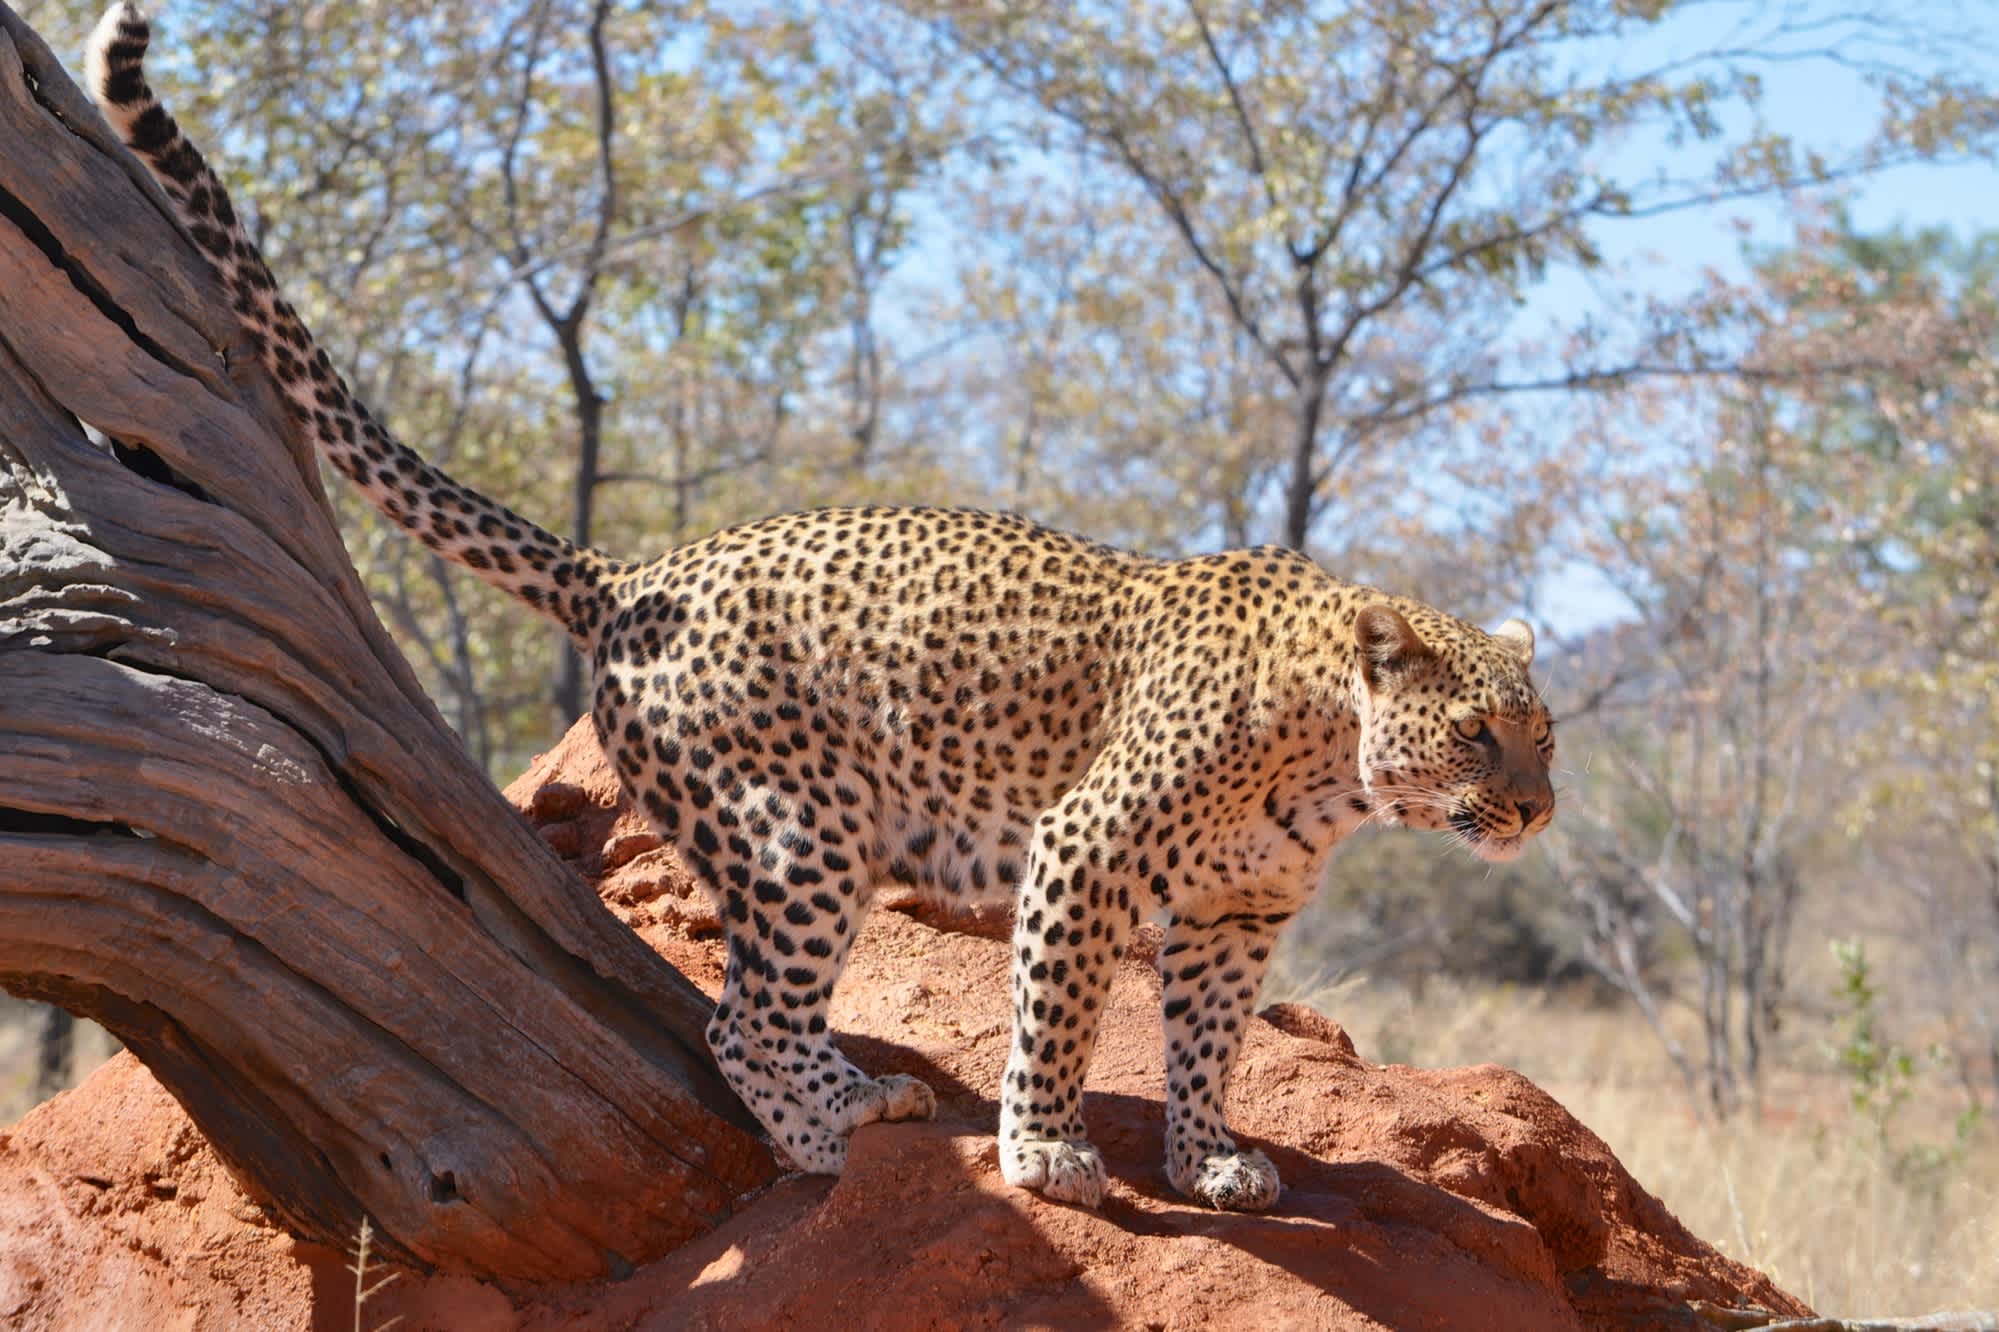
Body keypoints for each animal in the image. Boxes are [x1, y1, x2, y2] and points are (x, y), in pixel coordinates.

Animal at [89, 0, 1559, 1208]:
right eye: (1477, 735)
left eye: (1545, 739)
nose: (1539, 813)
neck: (1329, 766)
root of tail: (635, 575)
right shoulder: (1080, 850)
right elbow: (1061, 1016)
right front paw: (1046, 1152)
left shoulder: (1231, 914)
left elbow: (1208, 1041)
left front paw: (1206, 1161)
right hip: (798, 825)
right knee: (736, 1020)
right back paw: (824, 1138)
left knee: (769, 1009)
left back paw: (864, 1094)